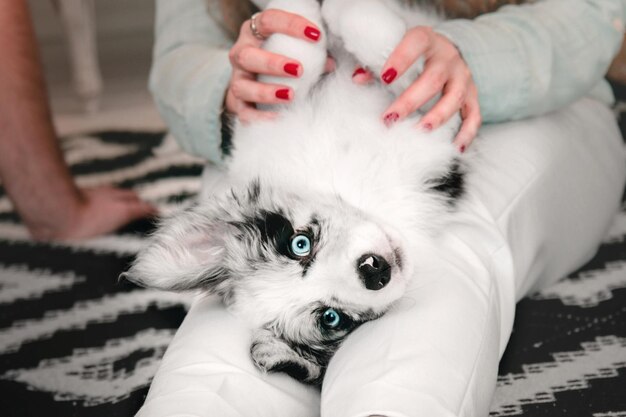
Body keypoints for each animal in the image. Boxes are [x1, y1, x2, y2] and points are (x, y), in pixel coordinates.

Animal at [124, 0, 466, 384]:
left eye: (298, 244)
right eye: (331, 317)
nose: (374, 270)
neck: (353, 187)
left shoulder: (265, 123)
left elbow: (305, 58)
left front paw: (324, 13)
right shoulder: (436, 135)